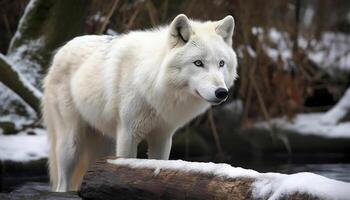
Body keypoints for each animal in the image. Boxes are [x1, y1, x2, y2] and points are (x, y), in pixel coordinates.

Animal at [41, 14, 238, 192]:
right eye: (198, 63)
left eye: (221, 63)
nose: (222, 92)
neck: (153, 82)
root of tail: (62, 49)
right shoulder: (128, 135)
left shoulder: (162, 138)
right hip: (71, 145)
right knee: (61, 185)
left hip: (105, 144)